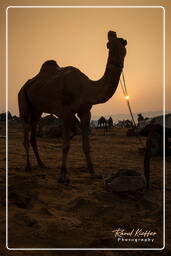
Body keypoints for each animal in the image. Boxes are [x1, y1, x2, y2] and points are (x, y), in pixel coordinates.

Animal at [18, 31, 127, 183]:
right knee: (25, 130)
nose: (112, 33)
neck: (86, 88)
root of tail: (25, 85)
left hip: (37, 109)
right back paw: (28, 166)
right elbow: (65, 145)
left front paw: (93, 173)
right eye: (109, 45)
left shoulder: (86, 111)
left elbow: (86, 145)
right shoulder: (65, 112)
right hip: (23, 100)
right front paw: (63, 175)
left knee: (33, 134)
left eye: (123, 42)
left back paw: (42, 164)